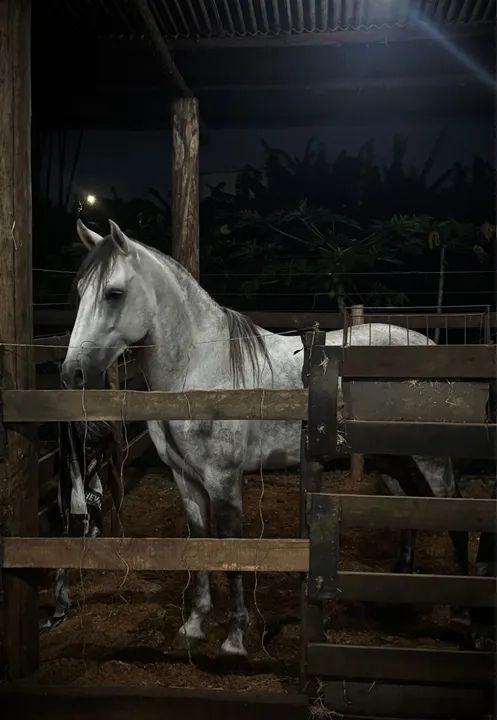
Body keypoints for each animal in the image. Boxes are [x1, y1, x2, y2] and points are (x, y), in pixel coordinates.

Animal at [58, 218, 467, 656]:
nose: (71, 374)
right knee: (408, 508)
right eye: (79, 291)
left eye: (114, 293)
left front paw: (235, 637)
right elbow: (200, 541)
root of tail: (430, 347)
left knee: (453, 513)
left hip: (429, 457)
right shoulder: (185, 479)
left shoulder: (223, 479)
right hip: (388, 458)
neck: (201, 368)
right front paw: (195, 623)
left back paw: (462, 614)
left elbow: (230, 547)